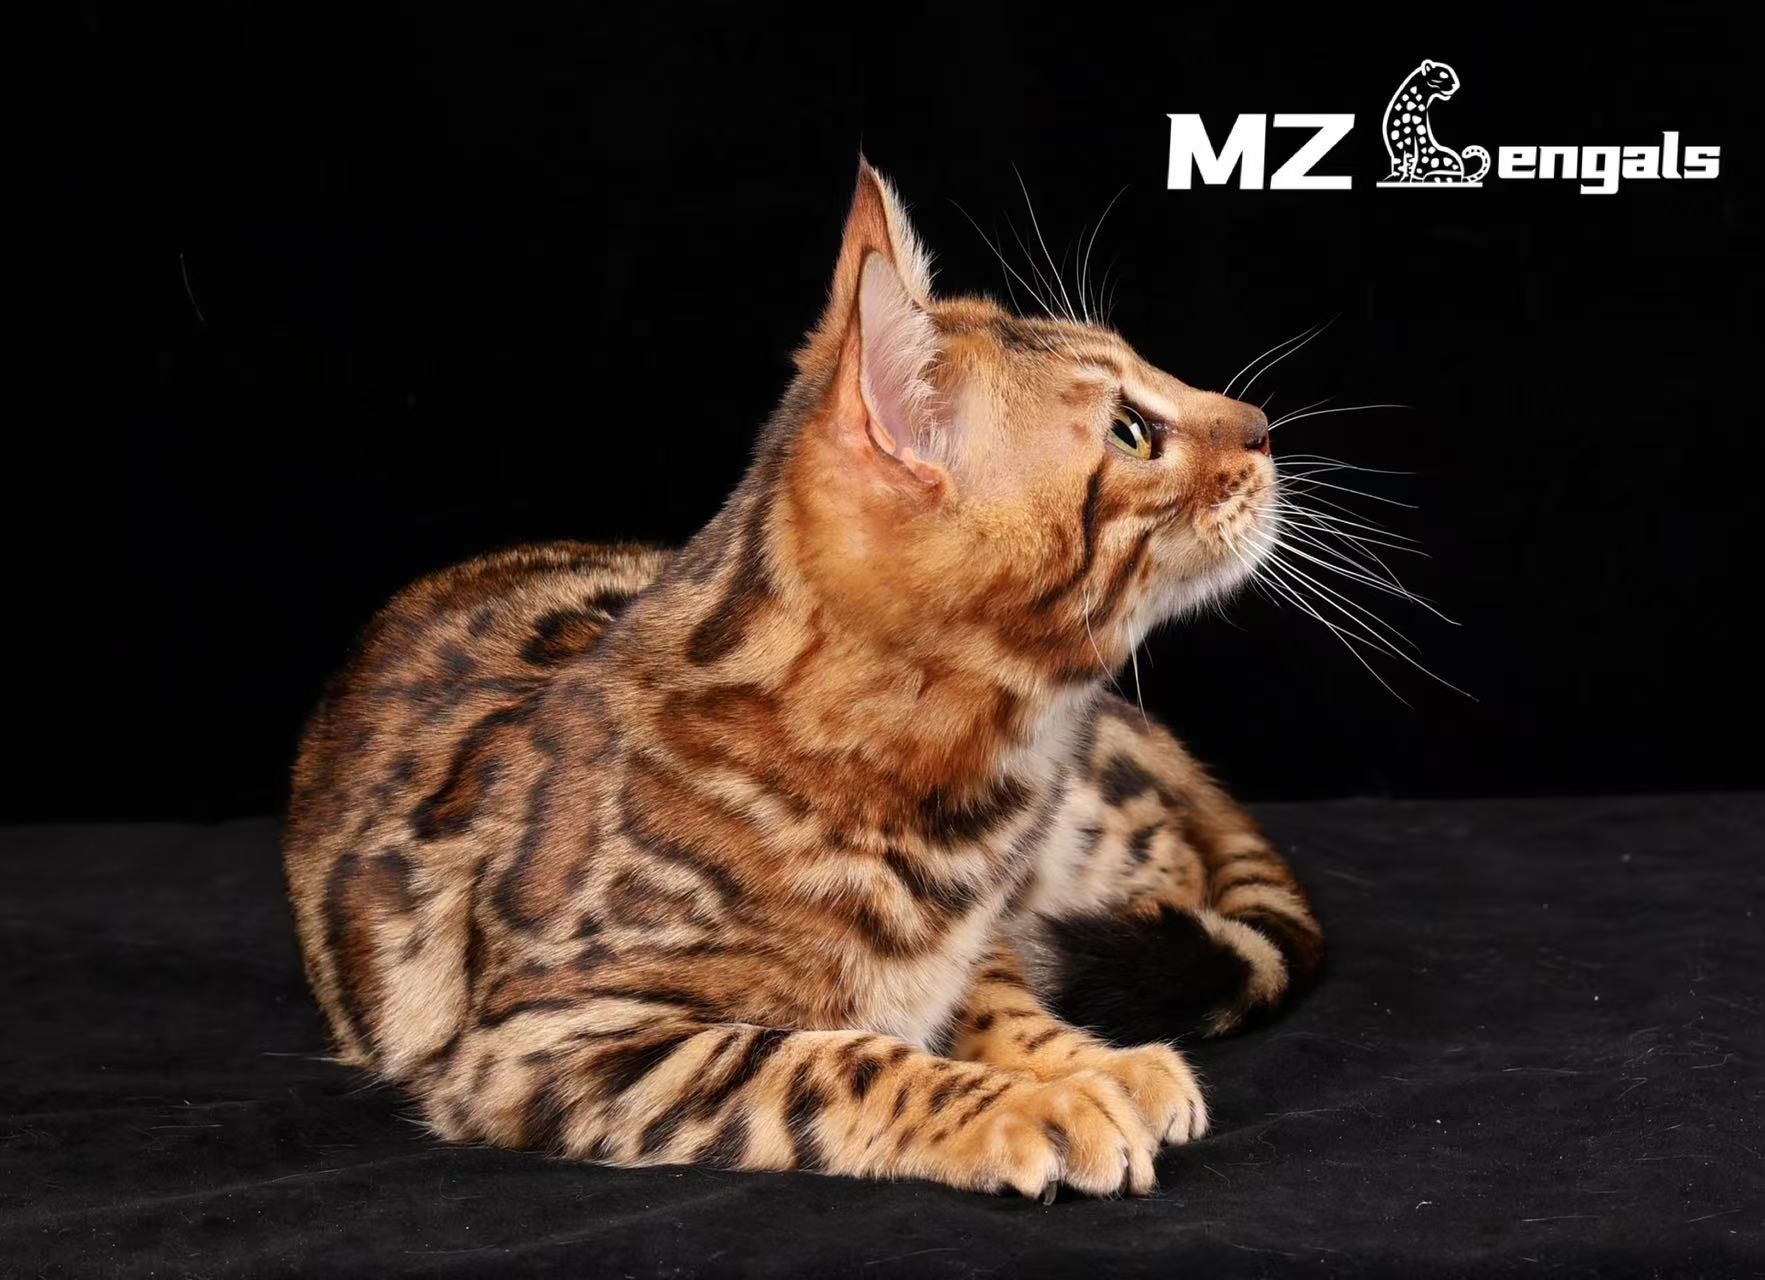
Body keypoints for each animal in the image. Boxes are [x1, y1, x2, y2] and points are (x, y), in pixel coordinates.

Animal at [282, 161, 1322, 1199]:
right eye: (1130, 431)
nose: (1262, 428)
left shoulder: (980, 936)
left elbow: (991, 988)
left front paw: (1091, 1064)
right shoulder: (550, 1039)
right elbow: (843, 1057)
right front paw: (1039, 1104)